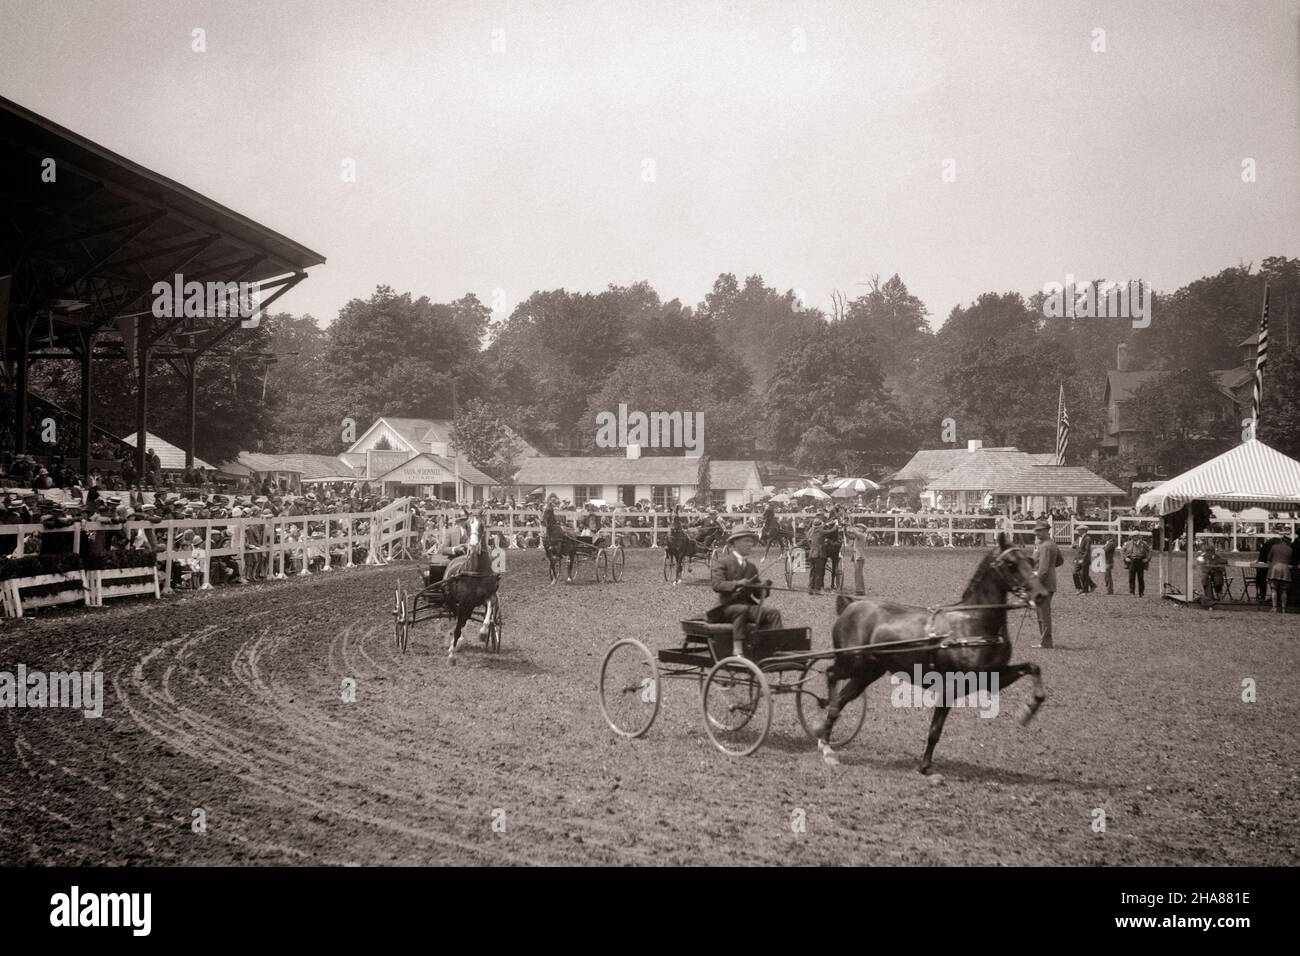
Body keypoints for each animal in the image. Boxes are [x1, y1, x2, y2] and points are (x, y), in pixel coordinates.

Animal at [436, 515, 496, 665]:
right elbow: (458, 625)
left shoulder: (485, 596)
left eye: (482, 526)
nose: (473, 546)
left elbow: (490, 608)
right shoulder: (463, 602)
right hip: (451, 600)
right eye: (468, 526)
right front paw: (451, 654)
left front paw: (483, 633)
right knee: (459, 618)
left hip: (470, 604)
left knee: (464, 618)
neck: (476, 571)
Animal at [811, 535, 1055, 775]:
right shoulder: (951, 687)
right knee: (831, 675)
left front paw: (1027, 711)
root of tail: (850, 606)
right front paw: (925, 765)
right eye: (1011, 564)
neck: (972, 623)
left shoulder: (992, 678)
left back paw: (826, 741)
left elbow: (1033, 667)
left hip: (867, 672)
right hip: (852, 662)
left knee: (841, 700)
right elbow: (935, 729)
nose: (1040, 595)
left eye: (1031, 561)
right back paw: (825, 730)